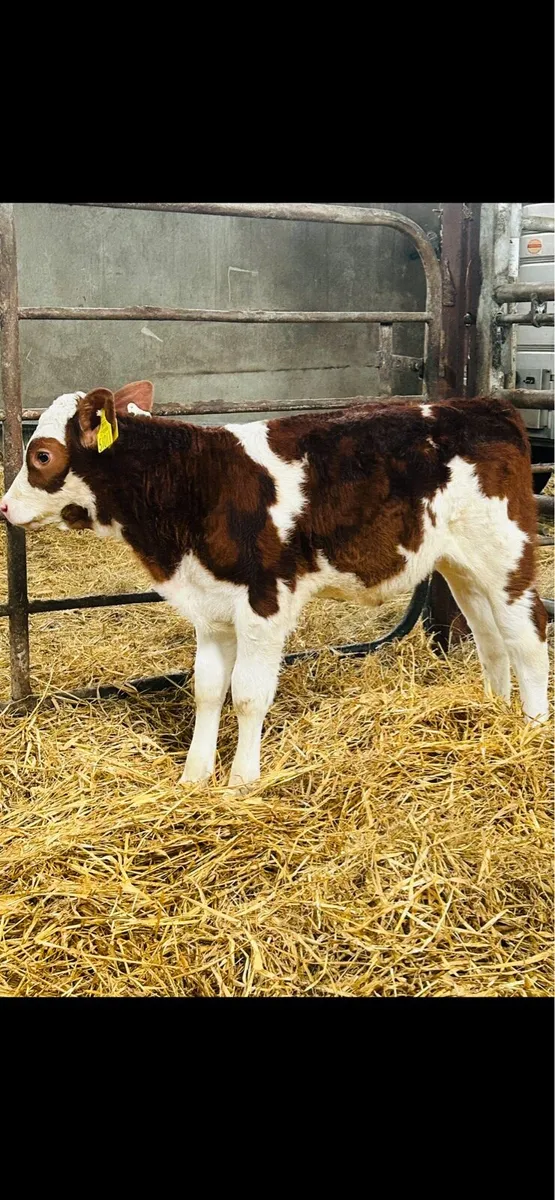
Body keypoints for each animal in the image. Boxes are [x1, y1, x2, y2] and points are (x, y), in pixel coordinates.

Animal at [0, 381, 549, 791]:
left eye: (42, 455)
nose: (5, 507)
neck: (195, 482)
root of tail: (484, 405)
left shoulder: (264, 599)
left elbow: (247, 694)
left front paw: (241, 781)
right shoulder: (211, 605)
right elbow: (206, 690)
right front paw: (194, 778)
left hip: (506, 552)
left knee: (528, 635)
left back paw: (532, 727)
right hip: (461, 565)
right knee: (489, 639)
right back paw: (493, 711)